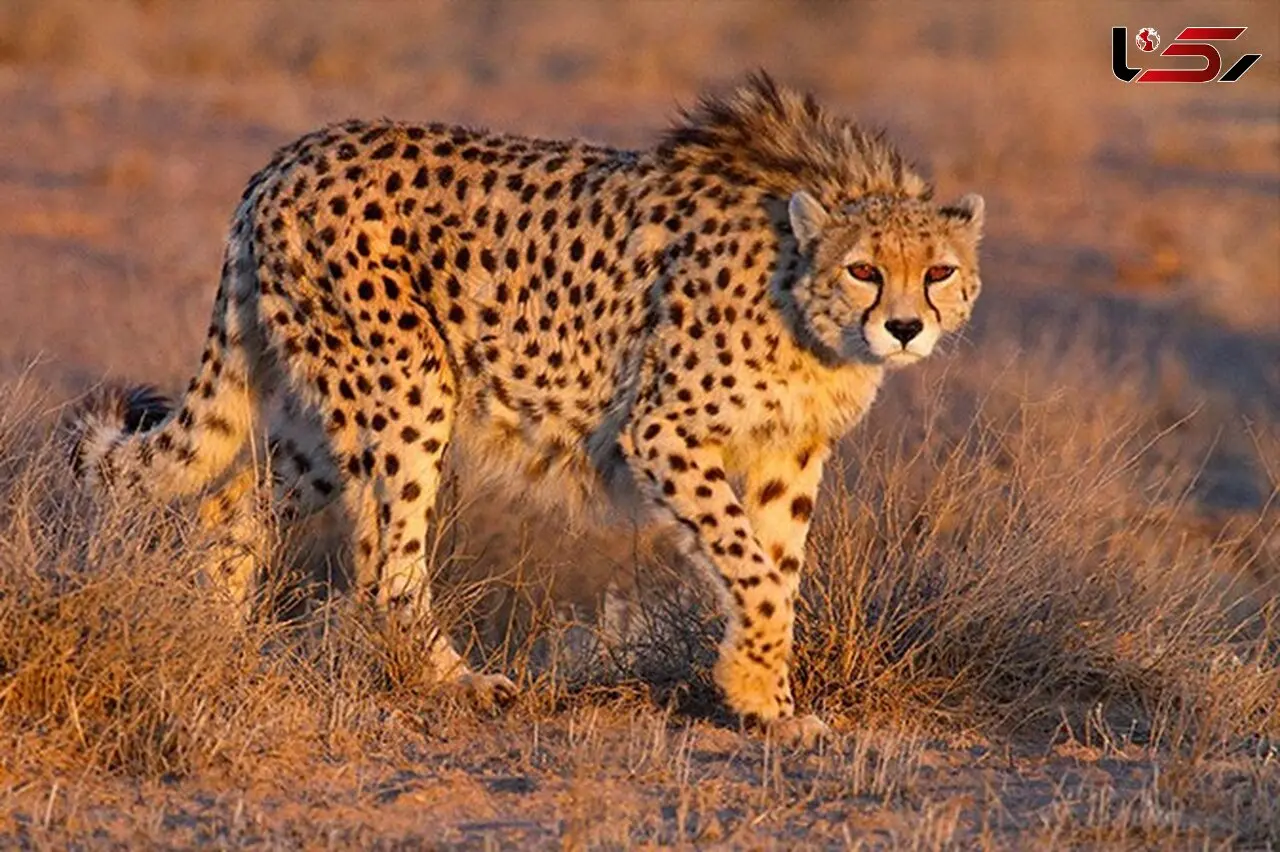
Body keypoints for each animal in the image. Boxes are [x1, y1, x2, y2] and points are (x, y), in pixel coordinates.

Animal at [68, 73, 984, 744]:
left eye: (939, 271)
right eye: (865, 269)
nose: (905, 327)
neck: (804, 301)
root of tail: (291, 156)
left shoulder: (786, 453)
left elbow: (778, 570)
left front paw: (768, 703)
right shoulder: (662, 433)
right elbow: (753, 569)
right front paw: (756, 686)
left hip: (328, 417)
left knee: (233, 502)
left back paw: (217, 637)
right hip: (407, 387)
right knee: (384, 568)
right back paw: (455, 681)